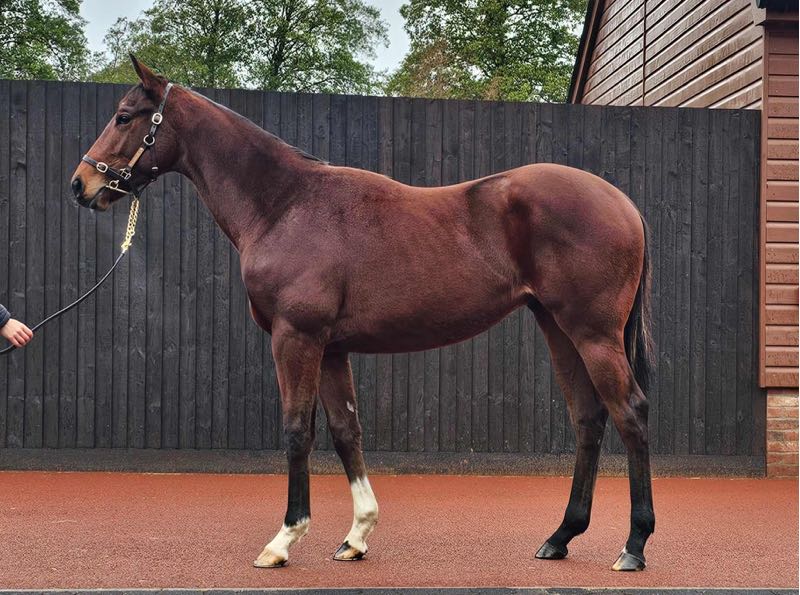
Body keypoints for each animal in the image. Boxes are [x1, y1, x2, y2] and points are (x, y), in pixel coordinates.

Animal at [70, 56, 655, 572]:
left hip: (593, 333)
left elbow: (297, 431)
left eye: (125, 115)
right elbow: (345, 430)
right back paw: (561, 537)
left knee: (630, 413)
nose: (82, 185)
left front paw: (284, 540)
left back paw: (634, 545)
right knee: (588, 417)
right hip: (558, 328)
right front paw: (356, 537)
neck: (285, 205)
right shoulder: (331, 348)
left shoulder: (296, 338)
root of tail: (625, 203)